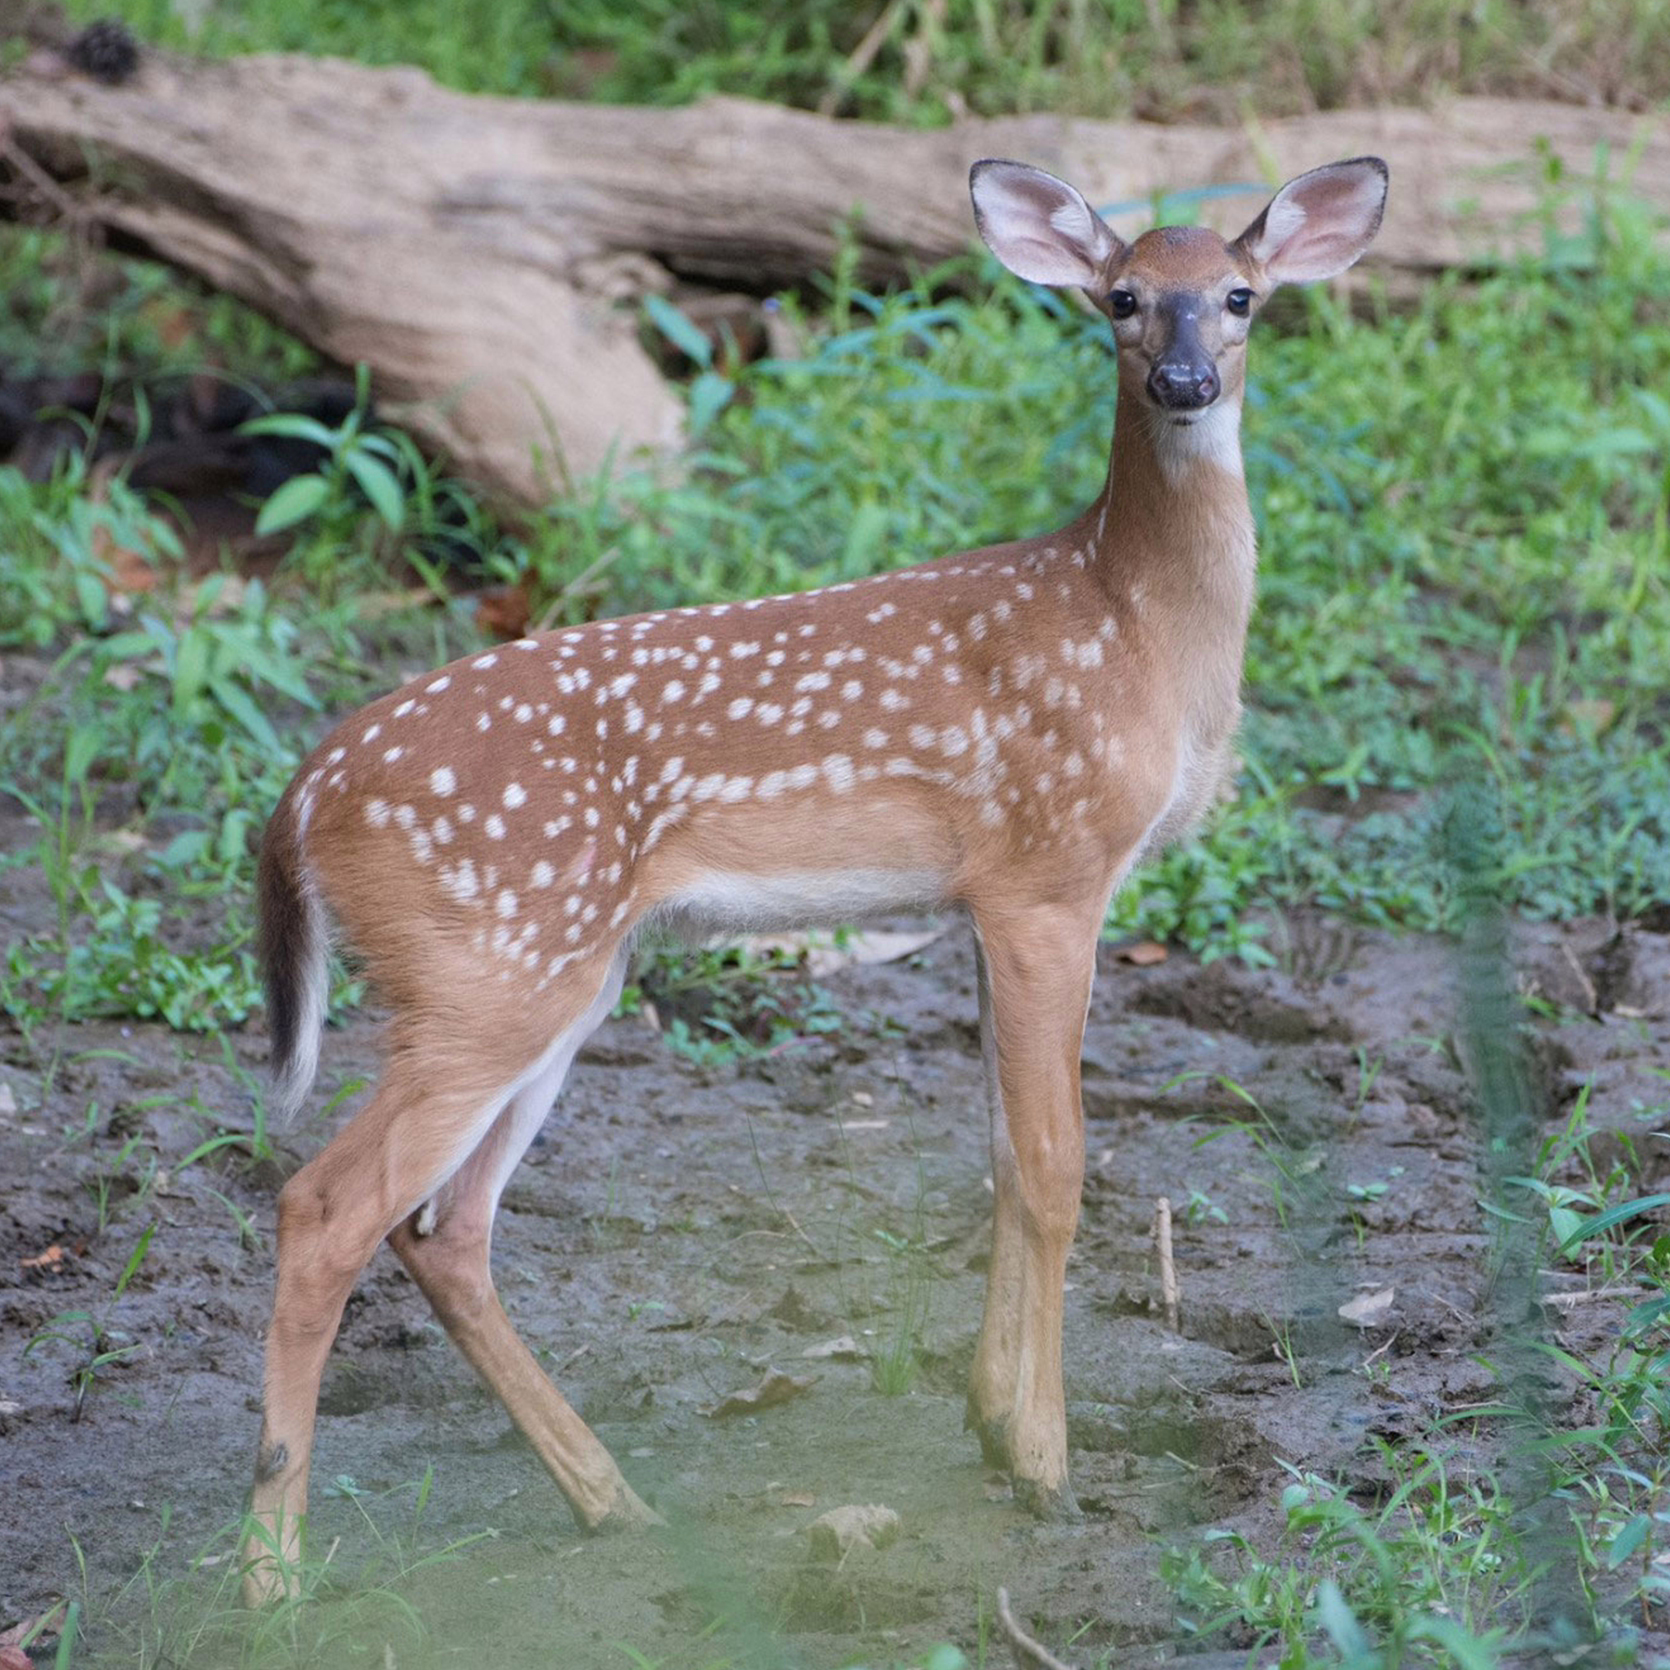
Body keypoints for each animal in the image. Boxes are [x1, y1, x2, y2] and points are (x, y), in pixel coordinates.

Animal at [240, 153, 1388, 1605]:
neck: (1135, 628)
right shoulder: (1049, 870)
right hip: (491, 962)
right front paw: (1047, 1468)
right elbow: (1057, 1166)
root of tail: (301, 794)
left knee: (445, 1227)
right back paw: (272, 1577)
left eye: (1239, 297)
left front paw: (991, 1424)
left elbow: (997, 1155)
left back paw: (613, 1501)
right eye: (1122, 297)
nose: (1183, 379)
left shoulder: (983, 899)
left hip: (551, 974)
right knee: (324, 1206)